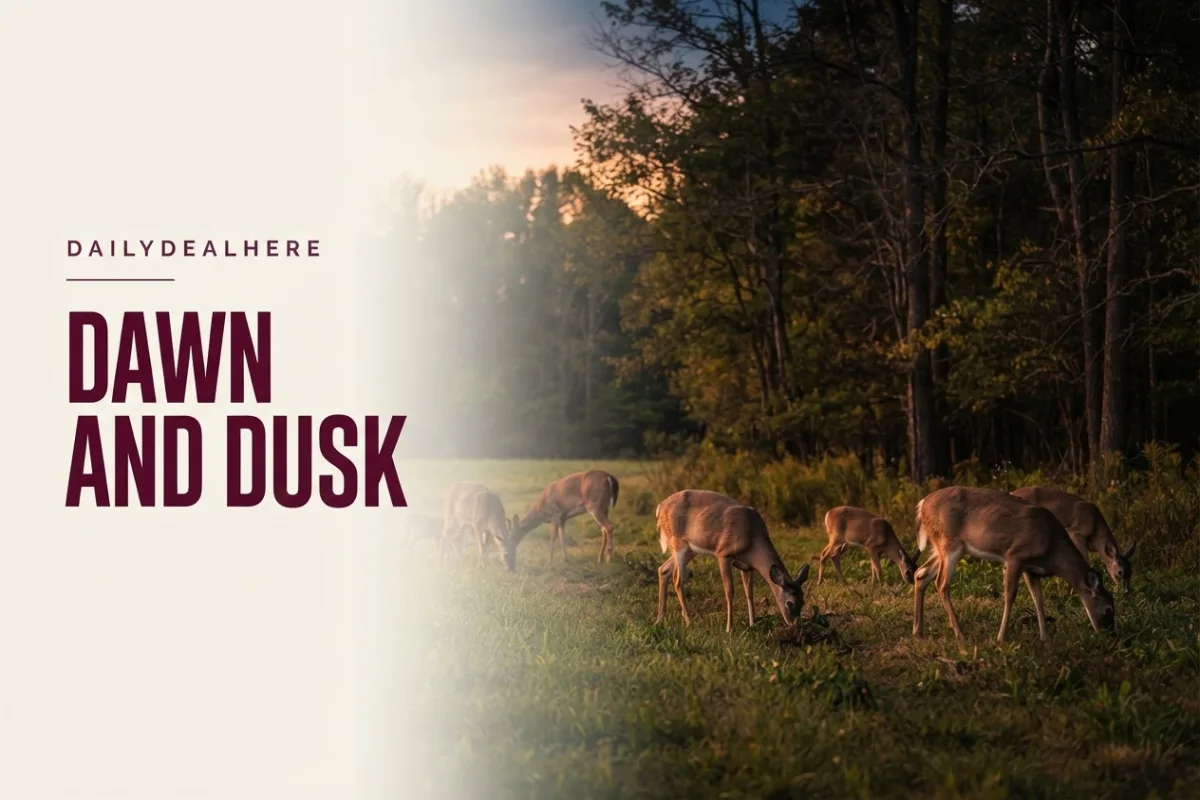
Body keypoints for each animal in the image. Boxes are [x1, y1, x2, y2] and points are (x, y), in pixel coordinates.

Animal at [655, 489, 810, 634]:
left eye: (803, 601)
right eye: (790, 603)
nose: (795, 625)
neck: (752, 536)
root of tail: (660, 507)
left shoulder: (747, 566)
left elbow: (749, 593)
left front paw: (752, 624)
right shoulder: (723, 555)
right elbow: (730, 591)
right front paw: (729, 628)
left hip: (690, 550)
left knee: (663, 569)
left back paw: (660, 619)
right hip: (679, 544)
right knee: (677, 579)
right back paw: (688, 621)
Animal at [912, 486, 1115, 643]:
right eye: (1108, 609)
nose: (1110, 635)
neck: (1052, 548)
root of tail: (922, 505)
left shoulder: (1031, 569)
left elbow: (1038, 599)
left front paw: (1045, 637)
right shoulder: (1014, 556)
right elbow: (1010, 595)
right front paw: (1001, 637)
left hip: (941, 548)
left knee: (920, 574)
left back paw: (918, 632)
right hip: (949, 543)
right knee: (941, 583)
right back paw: (960, 634)